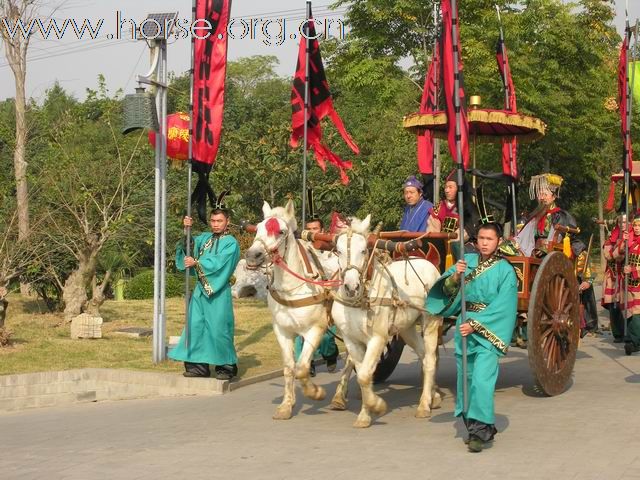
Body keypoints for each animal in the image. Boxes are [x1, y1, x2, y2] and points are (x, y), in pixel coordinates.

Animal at [245, 201, 348, 418]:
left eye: (281, 231)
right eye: (257, 228)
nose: (252, 255)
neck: (293, 289)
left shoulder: (315, 330)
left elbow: (301, 367)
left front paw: (315, 392)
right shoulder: (282, 331)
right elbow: (289, 367)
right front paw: (286, 404)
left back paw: (339, 397)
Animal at [332, 215, 442, 428]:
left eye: (364, 250)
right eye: (338, 251)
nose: (351, 287)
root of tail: (429, 264)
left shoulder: (378, 338)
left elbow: (364, 375)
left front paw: (377, 405)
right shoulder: (351, 340)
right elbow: (362, 374)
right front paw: (365, 414)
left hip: (430, 321)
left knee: (431, 359)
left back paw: (424, 405)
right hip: (407, 328)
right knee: (424, 356)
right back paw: (434, 395)